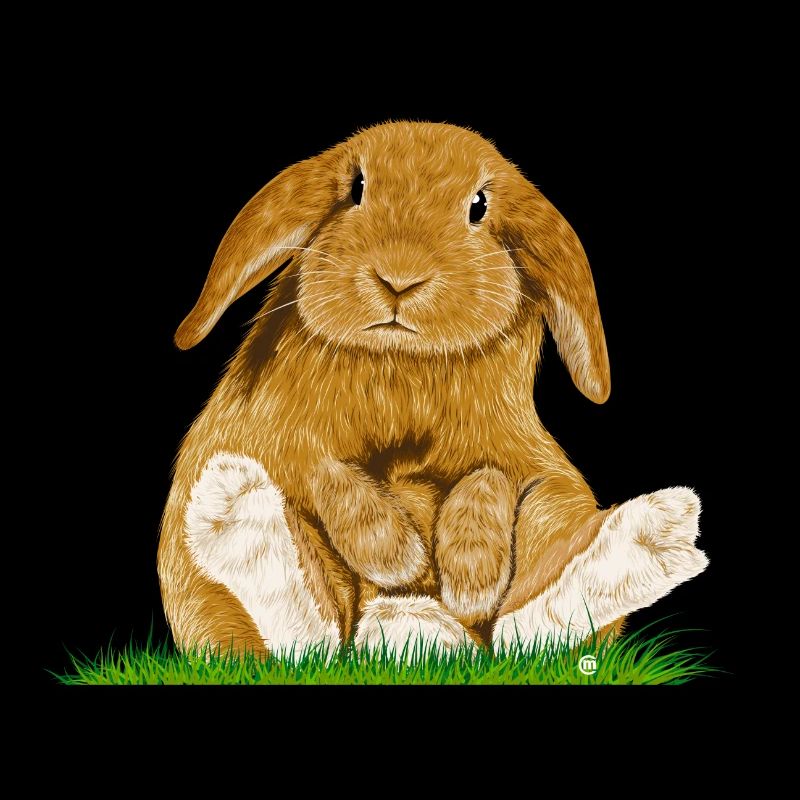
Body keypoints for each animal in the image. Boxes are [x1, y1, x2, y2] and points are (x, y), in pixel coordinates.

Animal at [158, 121, 708, 657]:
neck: (402, 364)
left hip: (558, 499)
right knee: (304, 634)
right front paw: (397, 555)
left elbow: (490, 475)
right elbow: (325, 470)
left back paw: (656, 535)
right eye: (356, 189)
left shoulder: (518, 455)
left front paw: (471, 576)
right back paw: (236, 511)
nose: (399, 279)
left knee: (535, 621)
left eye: (478, 206)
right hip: (200, 561)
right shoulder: (278, 436)